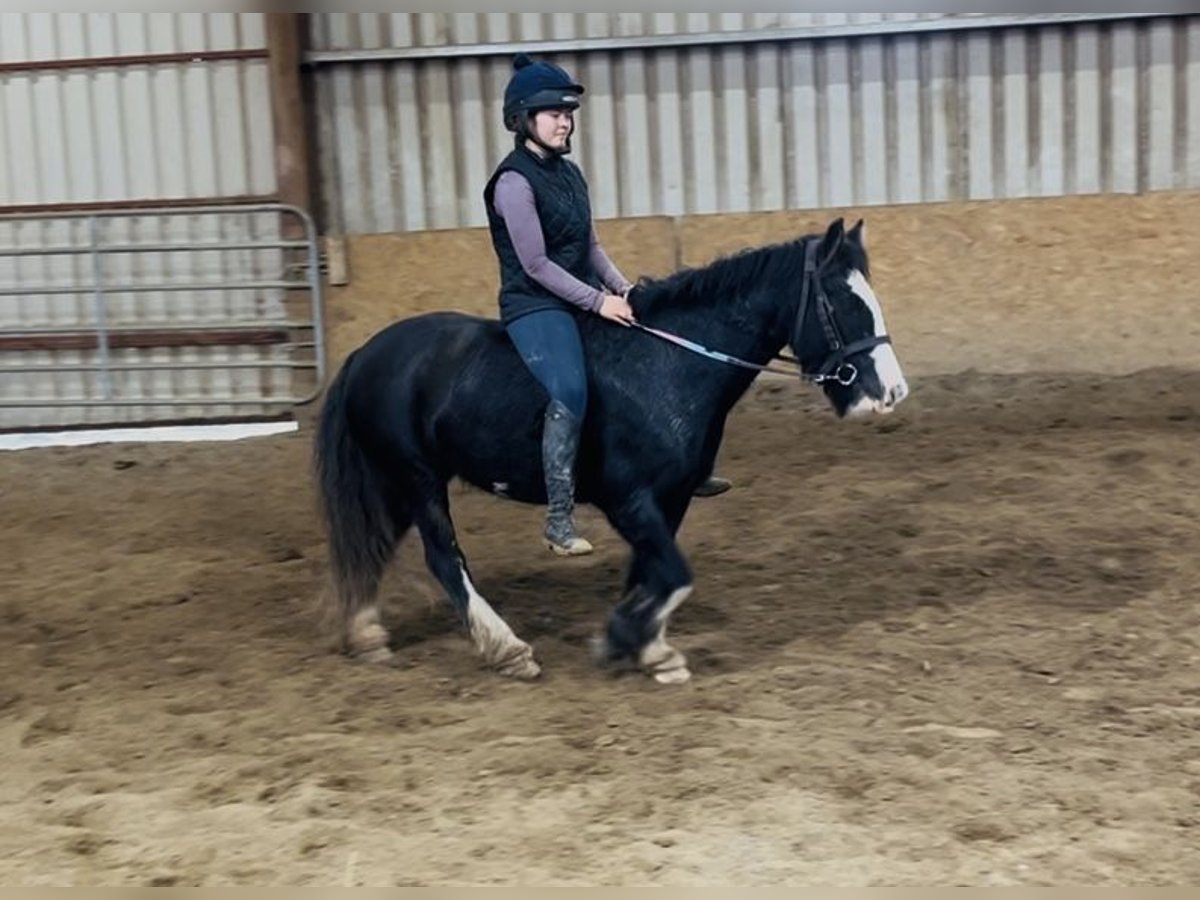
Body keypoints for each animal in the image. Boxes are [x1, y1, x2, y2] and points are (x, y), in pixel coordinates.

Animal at [313, 217, 908, 684]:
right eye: (844, 302)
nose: (891, 392)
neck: (666, 365)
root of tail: (365, 354)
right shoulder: (629, 500)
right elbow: (674, 573)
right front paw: (626, 639)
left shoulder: (671, 499)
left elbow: (652, 571)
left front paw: (646, 646)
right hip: (418, 478)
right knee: (444, 559)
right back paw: (507, 649)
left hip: (396, 480)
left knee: (377, 542)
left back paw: (365, 634)